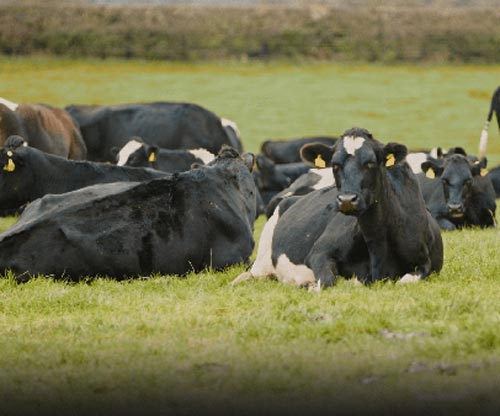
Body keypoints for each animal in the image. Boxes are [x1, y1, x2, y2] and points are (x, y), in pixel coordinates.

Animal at [232, 127, 444, 290]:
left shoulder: (424, 264)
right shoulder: (319, 252)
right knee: (250, 274)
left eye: (370, 163)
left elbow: (404, 280)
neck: (378, 243)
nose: (347, 200)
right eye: (334, 165)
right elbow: (328, 282)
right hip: (263, 256)